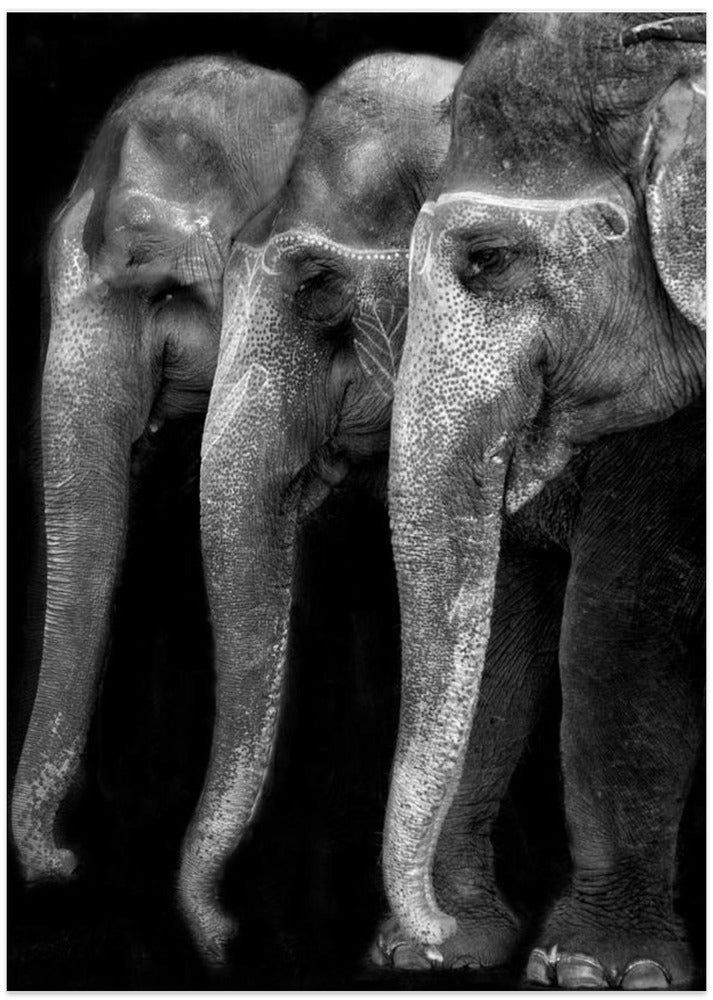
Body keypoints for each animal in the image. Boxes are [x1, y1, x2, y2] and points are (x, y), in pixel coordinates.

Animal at [379, 13, 705, 989]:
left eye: (485, 260)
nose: (429, 932)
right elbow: (511, 610)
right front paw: (450, 954)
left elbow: (621, 622)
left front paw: (603, 971)